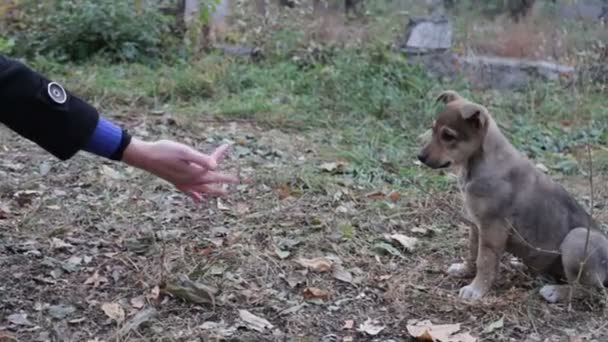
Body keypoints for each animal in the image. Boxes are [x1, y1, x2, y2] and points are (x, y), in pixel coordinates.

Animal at [416, 90, 608, 302]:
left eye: (448, 136)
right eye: (433, 129)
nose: (420, 157)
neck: (478, 163)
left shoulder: (492, 228)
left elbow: (484, 261)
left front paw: (476, 289)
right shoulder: (476, 225)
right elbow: (473, 252)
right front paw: (465, 270)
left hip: (577, 239)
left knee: (587, 289)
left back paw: (555, 292)